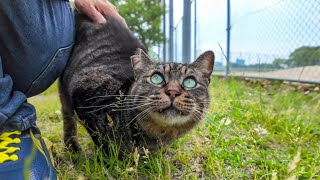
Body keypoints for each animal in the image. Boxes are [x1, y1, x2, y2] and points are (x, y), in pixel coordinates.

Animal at [59, 12, 215, 154]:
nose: (172, 92)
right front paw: (112, 159)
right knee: (68, 118)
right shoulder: (85, 97)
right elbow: (102, 140)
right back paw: (72, 147)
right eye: (156, 78)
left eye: (190, 82)